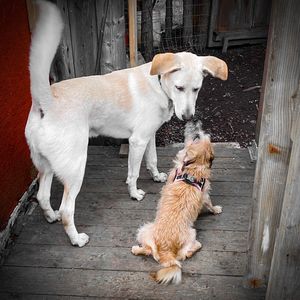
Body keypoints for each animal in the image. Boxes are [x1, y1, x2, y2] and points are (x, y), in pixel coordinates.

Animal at [25, 1, 227, 247]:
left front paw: (157, 176)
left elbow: (152, 160)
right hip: (75, 168)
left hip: (45, 167)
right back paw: (76, 238)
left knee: (42, 196)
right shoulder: (137, 141)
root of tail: (47, 101)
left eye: (196, 89)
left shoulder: (149, 136)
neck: (158, 85)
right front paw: (134, 194)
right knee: (66, 210)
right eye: (179, 88)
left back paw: (50, 216)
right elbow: (133, 173)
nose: (188, 117)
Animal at [132, 122, 223, 284]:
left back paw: (136, 249)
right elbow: (210, 203)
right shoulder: (205, 194)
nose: (196, 124)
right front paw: (216, 209)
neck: (192, 168)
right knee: (185, 254)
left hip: (145, 229)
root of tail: (166, 250)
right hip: (191, 233)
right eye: (197, 137)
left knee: (150, 250)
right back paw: (197, 245)